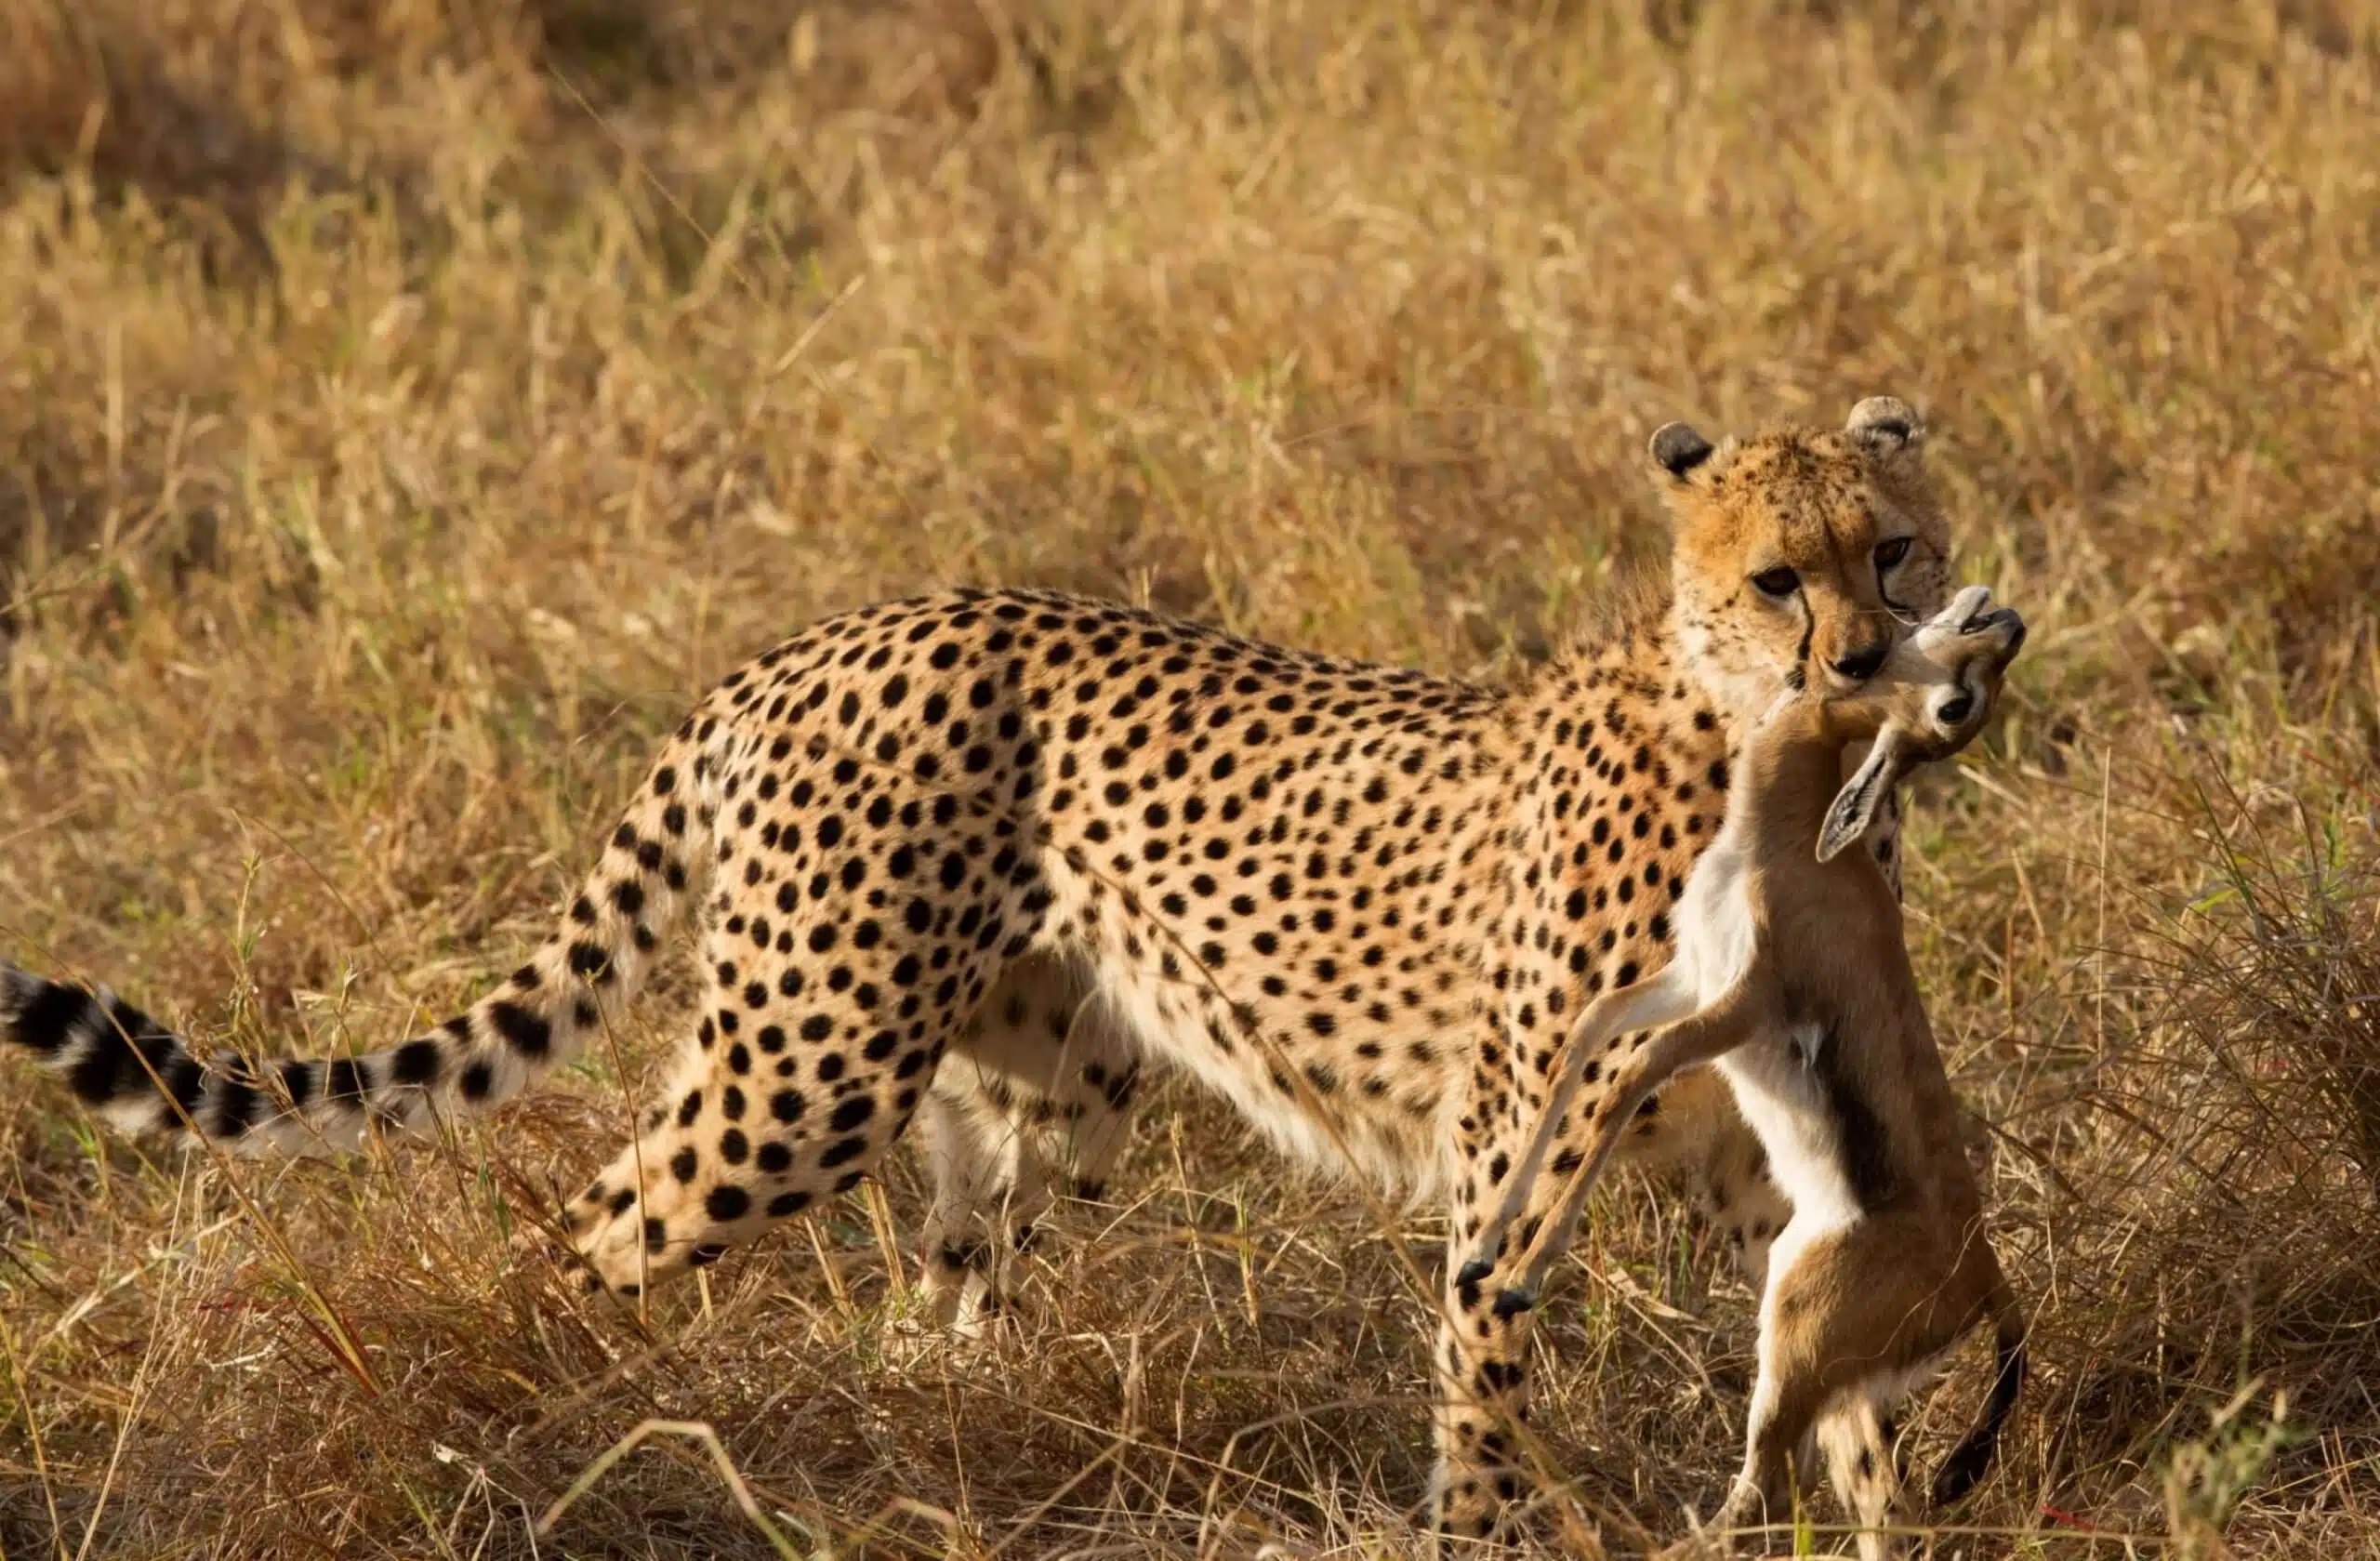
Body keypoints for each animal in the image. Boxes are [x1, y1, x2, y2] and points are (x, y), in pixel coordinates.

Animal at [5, 397, 1951, 1541]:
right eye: (1779, 578)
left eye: (1897, 546)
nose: (1874, 655)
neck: (1745, 741)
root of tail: (821, 634)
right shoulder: (1509, 1142)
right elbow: (1486, 1372)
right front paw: (1484, 1527)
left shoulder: (1757, 1150)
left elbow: (1847, 1340)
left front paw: (1889, 1511)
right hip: (810, 1063)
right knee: (602, 1223)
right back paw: (563, 1437)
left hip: (1041, 1074)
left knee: (948, 1293)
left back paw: (940, 1430)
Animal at [1465, 588, 2028, 1560]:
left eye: (1960, 709)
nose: (2008, 624)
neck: (1782, 835)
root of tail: (1982, 1276)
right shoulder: (1690, 972)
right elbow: (1582, 1043)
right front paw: (1485, 1250)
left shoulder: (1740, 1003)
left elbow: (1626, 1077)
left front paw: (1521, 1277)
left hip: (1791, 1338)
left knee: (1760, 1491)